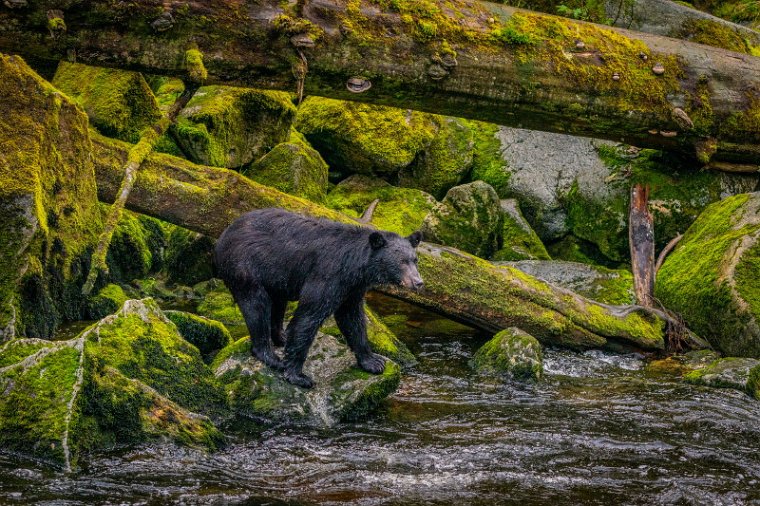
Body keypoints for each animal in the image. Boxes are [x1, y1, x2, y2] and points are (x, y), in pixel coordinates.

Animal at [214, 208, 424, 390]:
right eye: (401, 261)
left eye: (415, 260)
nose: (418, 282)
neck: (356, 266)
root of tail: (224, 235)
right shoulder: (328, 274)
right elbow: (309, 315)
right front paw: (298, 376)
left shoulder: (352, 288)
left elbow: (352, 319)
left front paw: (373, 362)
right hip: (245, 267)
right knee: (257, 306)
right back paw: (270, 356)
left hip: (275, 276)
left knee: (278, 303)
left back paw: (281, 337)